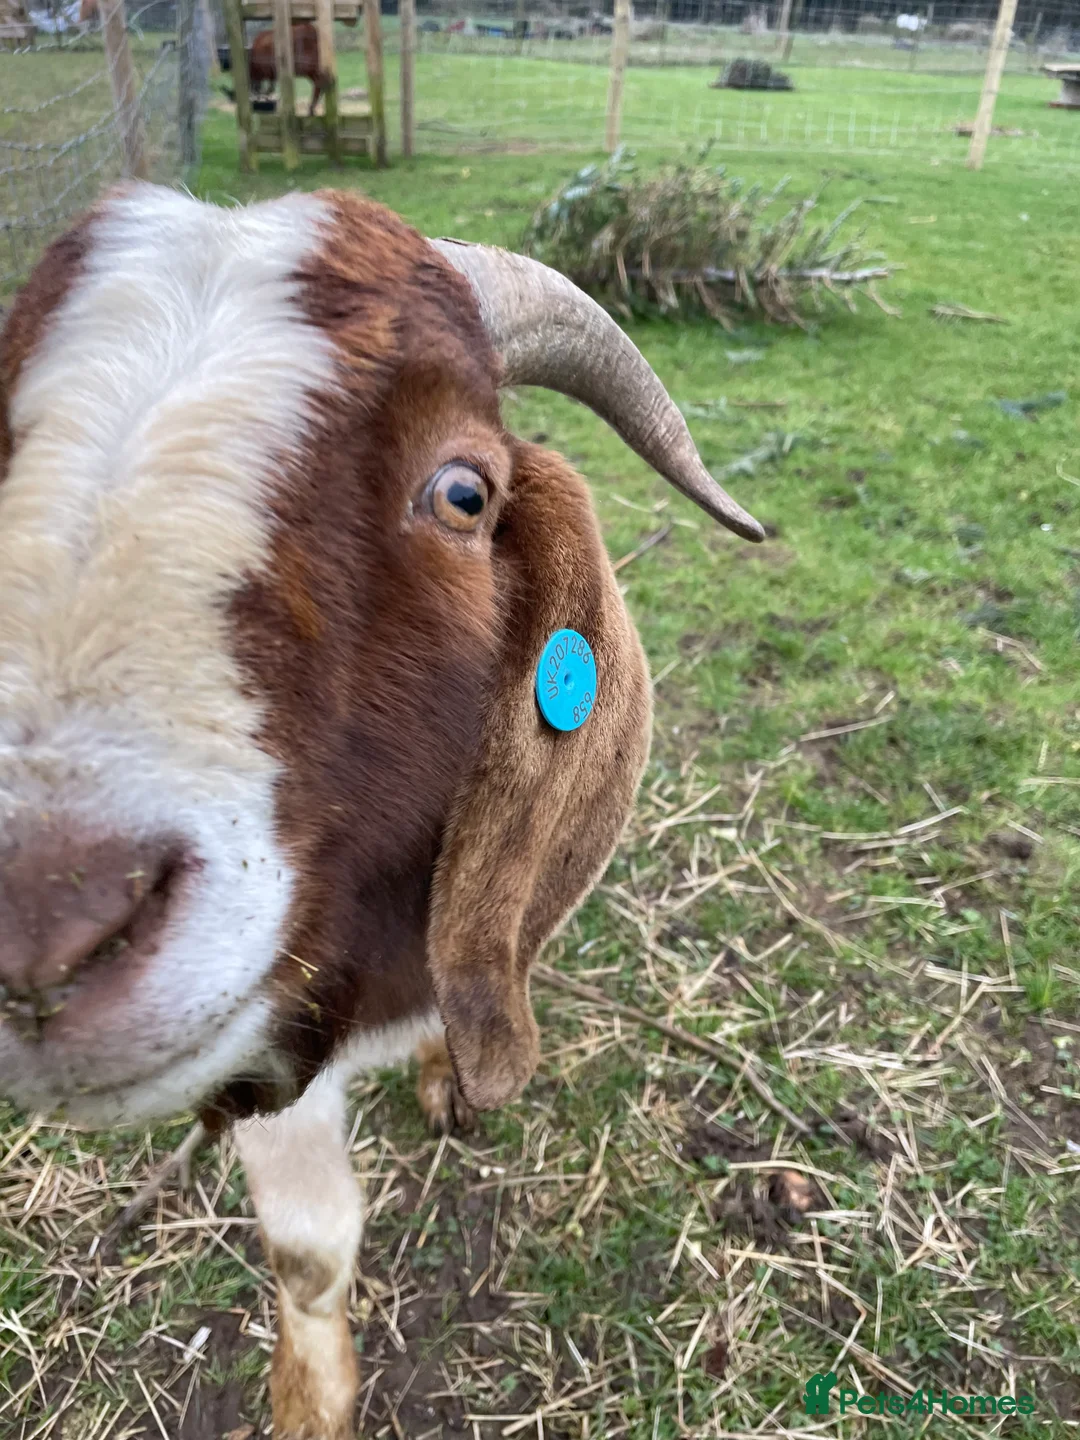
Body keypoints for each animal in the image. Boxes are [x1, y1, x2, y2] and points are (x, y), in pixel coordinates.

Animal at [0, 184, 762, 1439]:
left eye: (464, 492)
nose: (44, 925)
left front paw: (455, 1075)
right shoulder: (261, 1032)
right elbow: (310, 1248)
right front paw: (311, 1404)